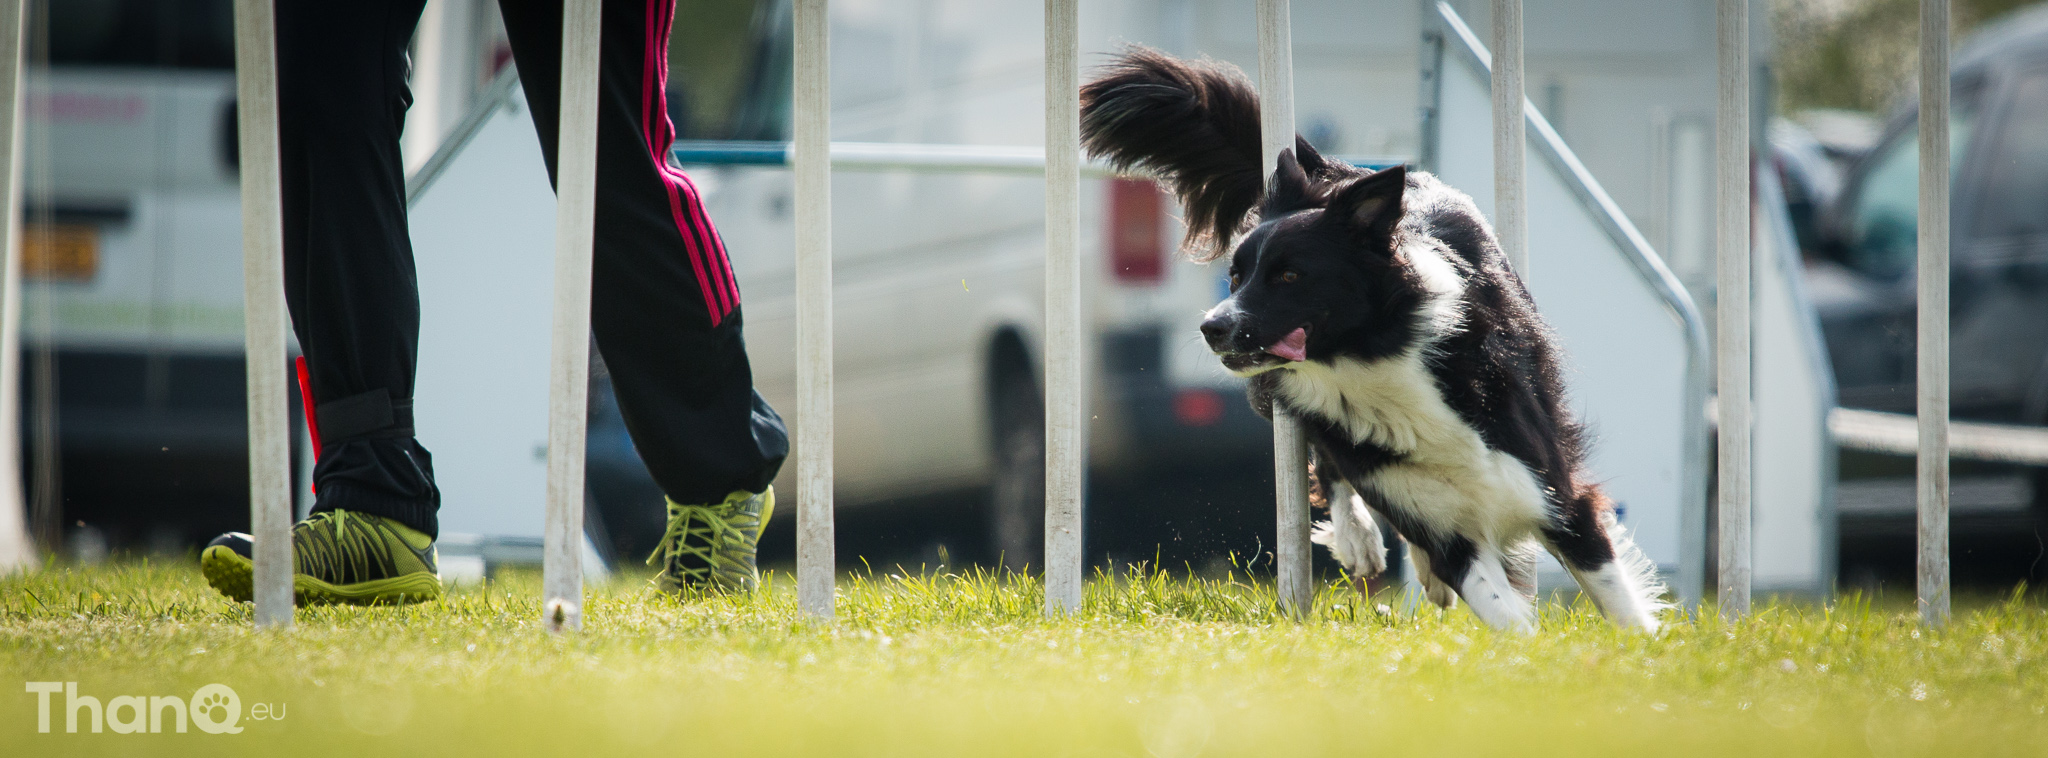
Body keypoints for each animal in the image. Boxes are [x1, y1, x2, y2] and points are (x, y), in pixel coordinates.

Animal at [1073, 48, 1662, 635]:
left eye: (1289, 276)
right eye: (1235, 277)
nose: (1211, 327)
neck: (1371, 360)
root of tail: (1342, 174)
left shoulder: (1556, 493)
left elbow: (1615, 597)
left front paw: (1643, 648)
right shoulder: (1439, 527)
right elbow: (1500, 608)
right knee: (1329, 465)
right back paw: (1360, 541)